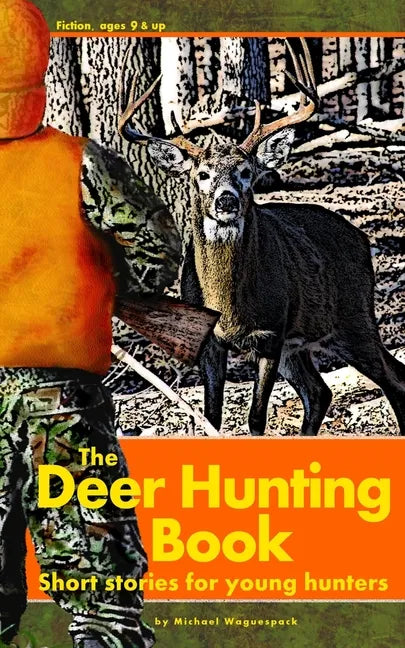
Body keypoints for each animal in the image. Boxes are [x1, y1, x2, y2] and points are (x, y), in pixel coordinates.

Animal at [118, 39, 405, 437]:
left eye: (245, 171)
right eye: (202, 174)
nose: (226, 200)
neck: (228, 307)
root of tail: (362, 239)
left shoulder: (271, 333)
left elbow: (256, 419)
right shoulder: (211, 341)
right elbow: (212, 415)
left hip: (354, 317)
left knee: (393, 379)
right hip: (302, 343)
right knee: (321, 392)